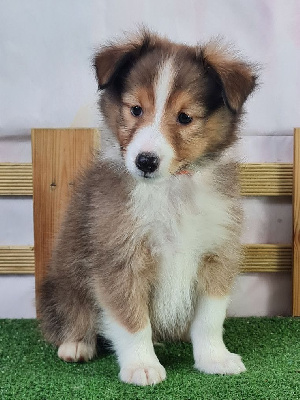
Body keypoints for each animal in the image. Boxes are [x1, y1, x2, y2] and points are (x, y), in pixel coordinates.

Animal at [38, 31, 256, 388]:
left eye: (185, 117)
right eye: (136, 109)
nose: (145, 161)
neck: (171, 188)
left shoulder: (216, 253)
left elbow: (210, 319)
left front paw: (215, 359)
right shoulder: (120, 257)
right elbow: (131, 319)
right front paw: (141, 365)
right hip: (64, 281)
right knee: (73, 314)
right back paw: (76, 344)